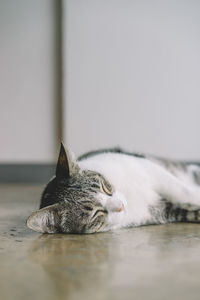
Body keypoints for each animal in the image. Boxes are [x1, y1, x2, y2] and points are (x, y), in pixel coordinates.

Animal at [26, 143, 200, 234]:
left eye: (104, 187)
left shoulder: (149, 168)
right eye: (96, 213)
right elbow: (190, 212)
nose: (121, 205)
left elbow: (183, 191)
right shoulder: (164, 211)